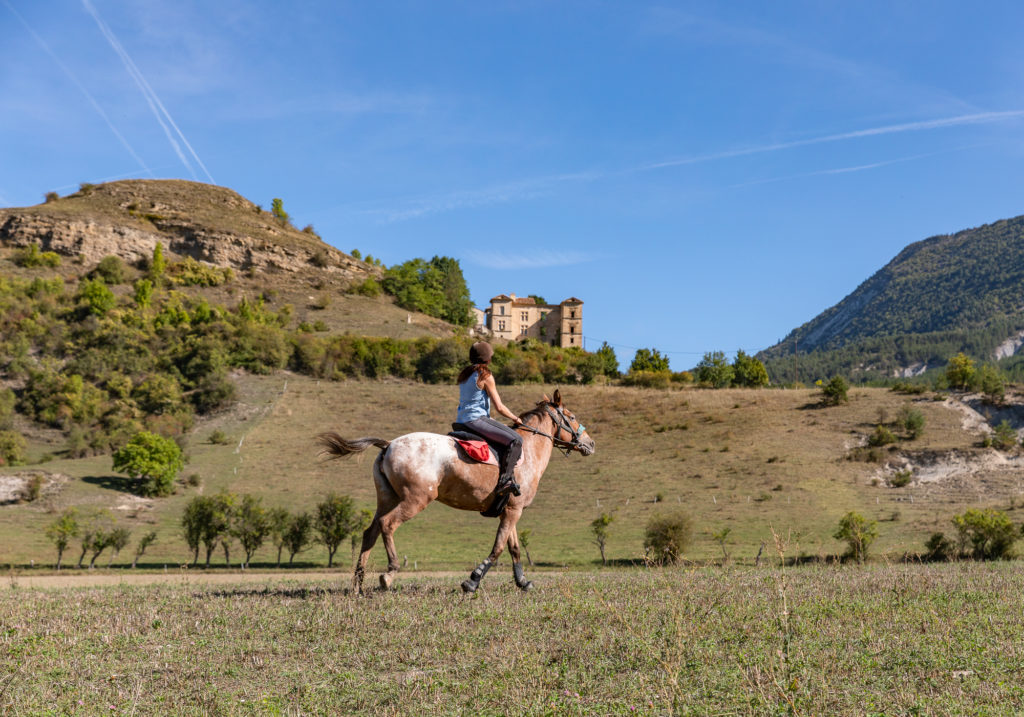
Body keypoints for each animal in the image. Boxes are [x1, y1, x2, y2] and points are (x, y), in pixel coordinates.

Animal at [315, 389, 598, 598]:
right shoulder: (513, 511)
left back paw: (358, 585)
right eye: (572, 416)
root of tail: (389, 445)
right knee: (387, 525)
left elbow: (514, 548)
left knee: (370, 532)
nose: (591, 443)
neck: (527, 452)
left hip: (387, 498)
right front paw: (472, 581)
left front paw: (523, 582)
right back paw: (389, 573)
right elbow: (497, 548)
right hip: (415, 500)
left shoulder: (510, 510)